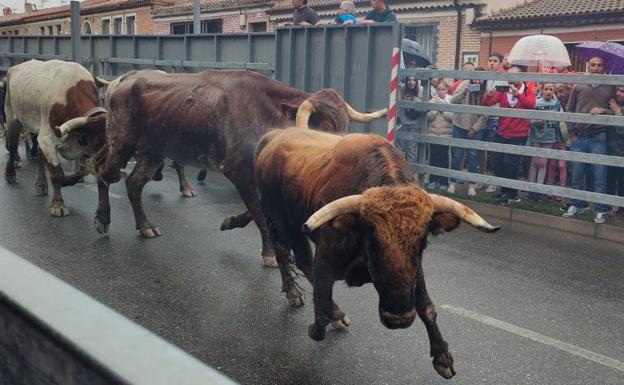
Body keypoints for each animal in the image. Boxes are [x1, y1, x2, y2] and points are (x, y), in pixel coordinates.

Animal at [92, 68, 386, 264]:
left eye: (347, 124)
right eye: (324, 126)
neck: (267, 115)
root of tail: (122, 80)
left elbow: (256, 211)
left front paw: (231, 221)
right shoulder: (239, 172)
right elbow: (258, 211)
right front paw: (270, 253)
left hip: (153, 152)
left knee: (133, 184)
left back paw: (145, 226)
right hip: (120, 142)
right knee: (102, 172)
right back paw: (102, 219)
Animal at [252, 127, 498, 380]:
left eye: (422, 242)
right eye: (372, 238)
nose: (399, 319)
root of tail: (275, 135)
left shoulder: (414, 272)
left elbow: (426, 307)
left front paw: (442, 357)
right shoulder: (325, 261)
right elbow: (320, 300)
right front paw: (319, 325)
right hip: (279, 220)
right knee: (285, 254)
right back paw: (297, 295)